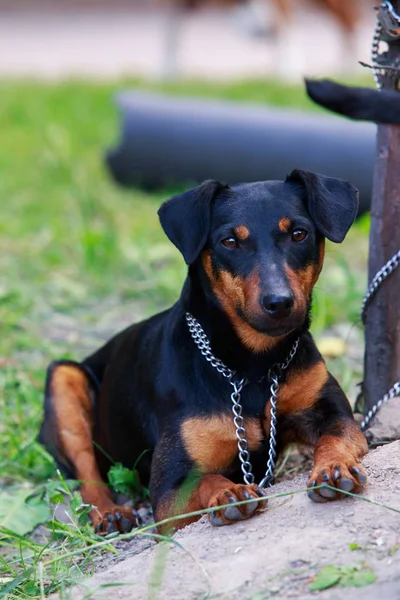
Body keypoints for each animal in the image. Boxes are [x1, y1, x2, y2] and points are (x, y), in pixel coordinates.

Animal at [39, 169, 368, 536]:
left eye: (299, 234)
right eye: (230, 242)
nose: (279, 302)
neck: (252, 366)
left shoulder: (332, 413)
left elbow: (335, 438)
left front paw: (334, 468)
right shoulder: (168, 489)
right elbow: (205, 479)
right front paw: (229, 493)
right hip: (64, 380)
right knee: (87, 473)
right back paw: (109, 513)